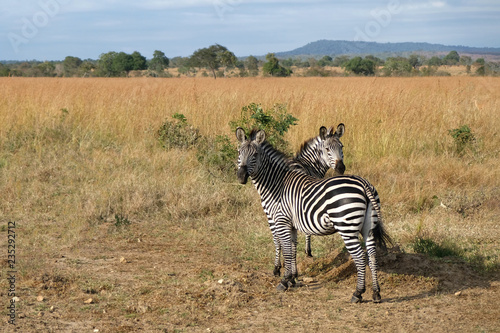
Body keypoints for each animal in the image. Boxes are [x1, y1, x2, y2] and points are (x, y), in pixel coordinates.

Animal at [236, 126, 392, 302]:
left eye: (255, 154)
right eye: (239, 152)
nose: (241, 177)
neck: (276, 184)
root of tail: (364, 183)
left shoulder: (281, 220)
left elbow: (286, 249)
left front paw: (284, 280)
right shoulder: (292, 224)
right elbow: (292, 247)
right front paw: (292, 278)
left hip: (347, 226)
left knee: (360, 257)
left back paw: (358, 293)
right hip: (368, 227)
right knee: (372, 255)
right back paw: (376, 293)